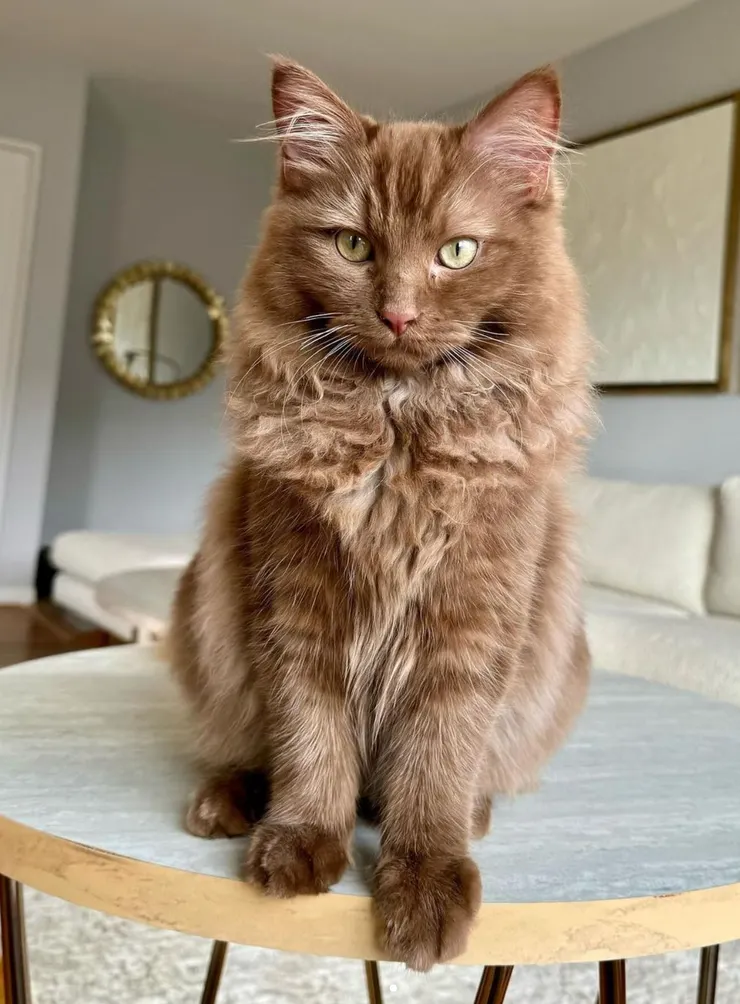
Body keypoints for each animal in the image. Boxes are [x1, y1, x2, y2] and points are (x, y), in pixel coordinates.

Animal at [170, 56, 590, 971]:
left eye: (456, 252)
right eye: (353, 245)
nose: (398, 312)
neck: (396, 434)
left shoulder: (471, 621)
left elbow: (438, 759)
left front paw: (426, 880)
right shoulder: (294, 602)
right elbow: (308, 733)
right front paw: (300, 842)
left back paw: (473, 815)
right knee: (242, 743)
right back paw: (227, 802)